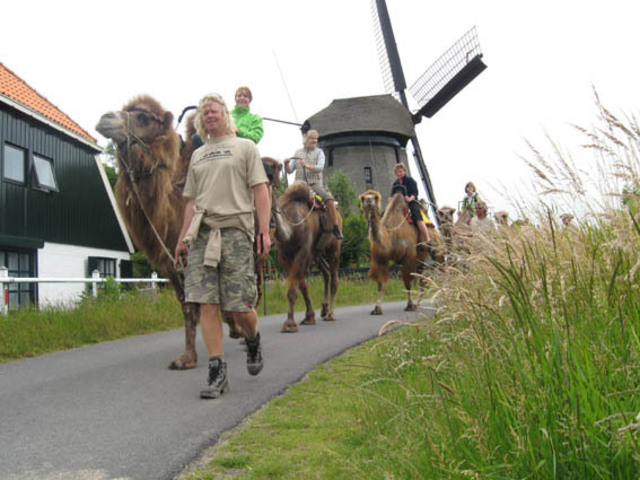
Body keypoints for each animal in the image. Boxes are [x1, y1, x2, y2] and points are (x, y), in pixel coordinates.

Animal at [273, 181, 342, 333]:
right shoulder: (284, 256)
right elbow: (302, 285)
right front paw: (309, 316)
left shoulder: (303, 251)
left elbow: (293, 289)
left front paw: (290, 324)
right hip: (317, 254)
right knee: (326, 273)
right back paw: (324, 309)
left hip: (334, 248)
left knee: (334, 277)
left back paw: (330, 314)